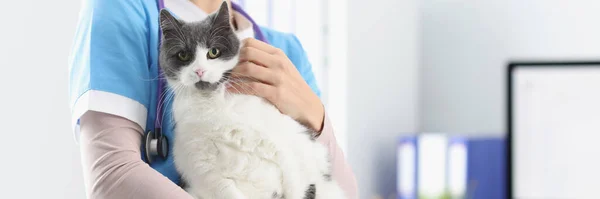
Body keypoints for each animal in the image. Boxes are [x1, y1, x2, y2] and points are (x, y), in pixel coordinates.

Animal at [158, 1, 346, 199]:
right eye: (183, 55)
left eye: (214, 52)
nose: (199, 71)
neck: (215, 104)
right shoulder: (204, 168)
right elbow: (224, 188)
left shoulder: (288, 149)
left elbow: (294, 179)